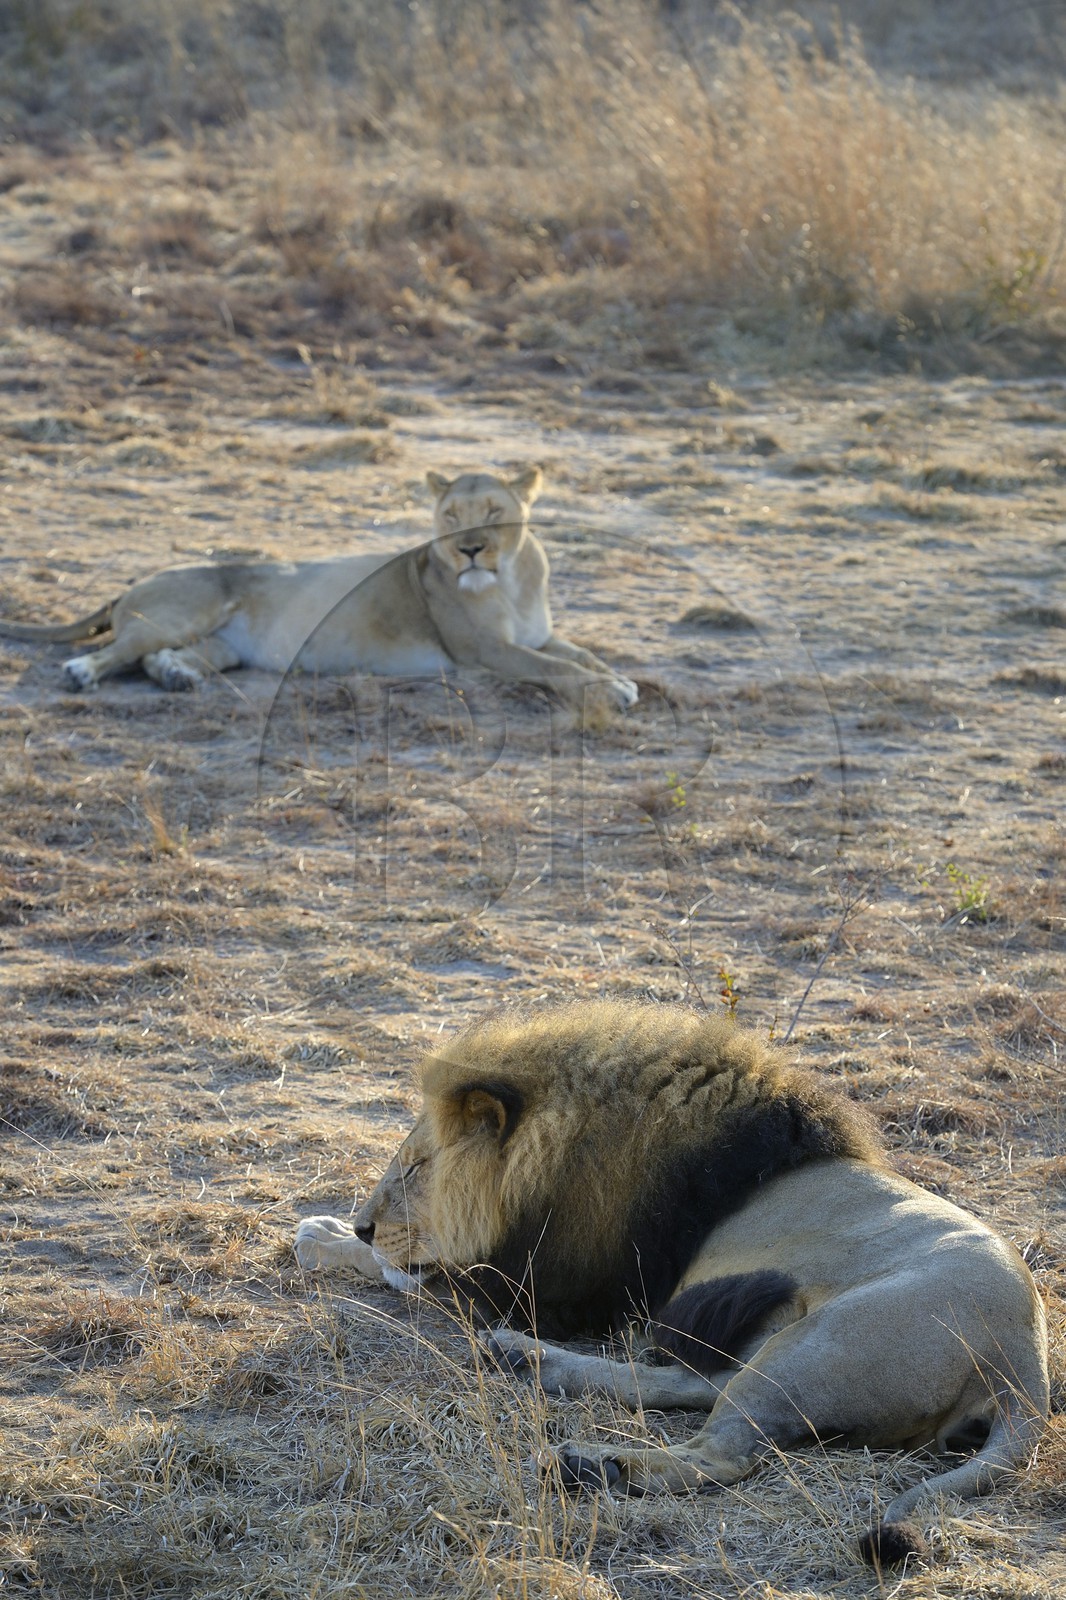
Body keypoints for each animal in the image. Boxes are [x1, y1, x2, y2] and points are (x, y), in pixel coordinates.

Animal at [0, 468, 638, 708]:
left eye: (494, 512)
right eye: (451, 516)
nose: (470, 550)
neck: (513, 580)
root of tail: (135, 580)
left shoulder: (536, 634)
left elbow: (581, 653)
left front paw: (620, 679)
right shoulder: (482, 650)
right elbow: (556, 667)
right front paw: (610, 691)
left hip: (222, 645)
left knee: (162, 658)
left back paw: (179, 677)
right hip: (180, 612)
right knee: (115, 651)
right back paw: (82, 673)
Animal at [294, 999, 1049, 1567]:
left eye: (415, 1168)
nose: (364, 1222)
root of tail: (1024, 1361)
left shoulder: (552, 1292)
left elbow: (416, 1273)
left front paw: (327, 1238)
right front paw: (339, 1235)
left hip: (827, 1340)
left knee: (722, 1450)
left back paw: (592, 1463)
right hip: (791, 1348)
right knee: (700, 1388)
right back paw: (528, 1365)